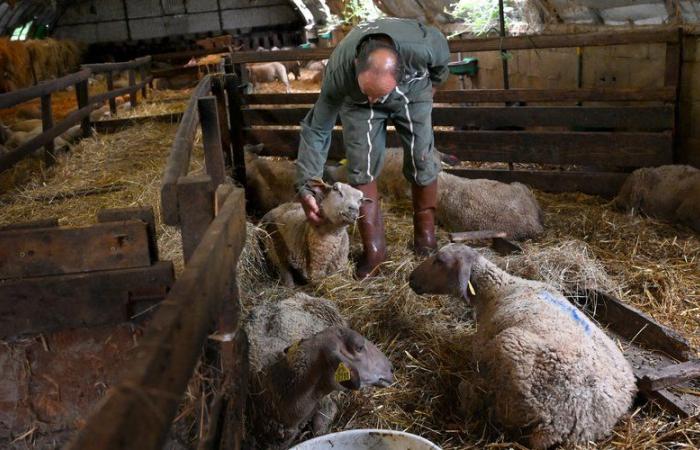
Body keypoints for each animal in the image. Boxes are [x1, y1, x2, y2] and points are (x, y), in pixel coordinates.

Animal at [408, 244, 636, 448]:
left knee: (480, 401)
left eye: (439, 260)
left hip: (510, 359)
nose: (411, 279)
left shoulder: (482, 349)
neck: (499, 290)